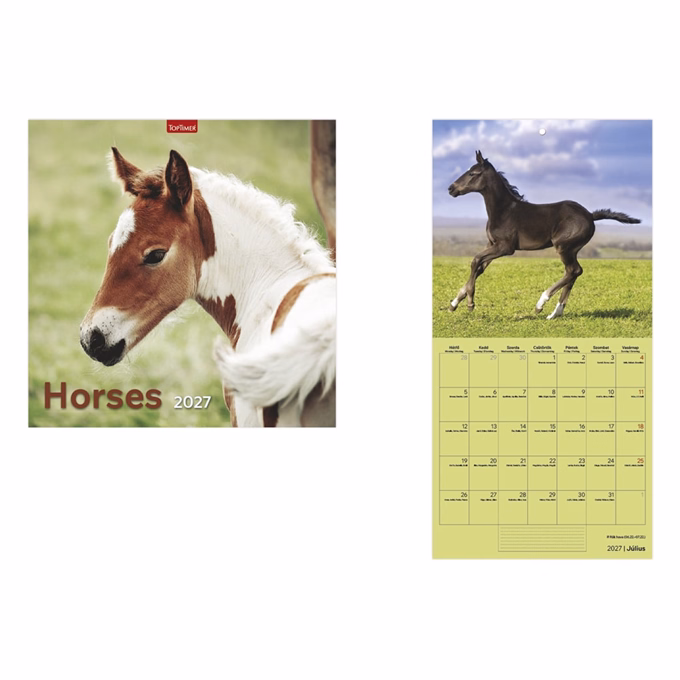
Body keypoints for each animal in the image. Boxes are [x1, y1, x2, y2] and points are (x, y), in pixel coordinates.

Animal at [447, 150, 641, 319]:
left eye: (473, 173)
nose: (451, 188)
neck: (503, 211)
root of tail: (590, 215)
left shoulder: (505, 247)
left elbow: (475, 261)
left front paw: (470, 303)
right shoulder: (492, 244)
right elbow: (479, 267)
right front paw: (454, 303)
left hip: (563, 247)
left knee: (574, 270)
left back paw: (541, 304)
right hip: (572, 249)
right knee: (573, 273)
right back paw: (556, 312)